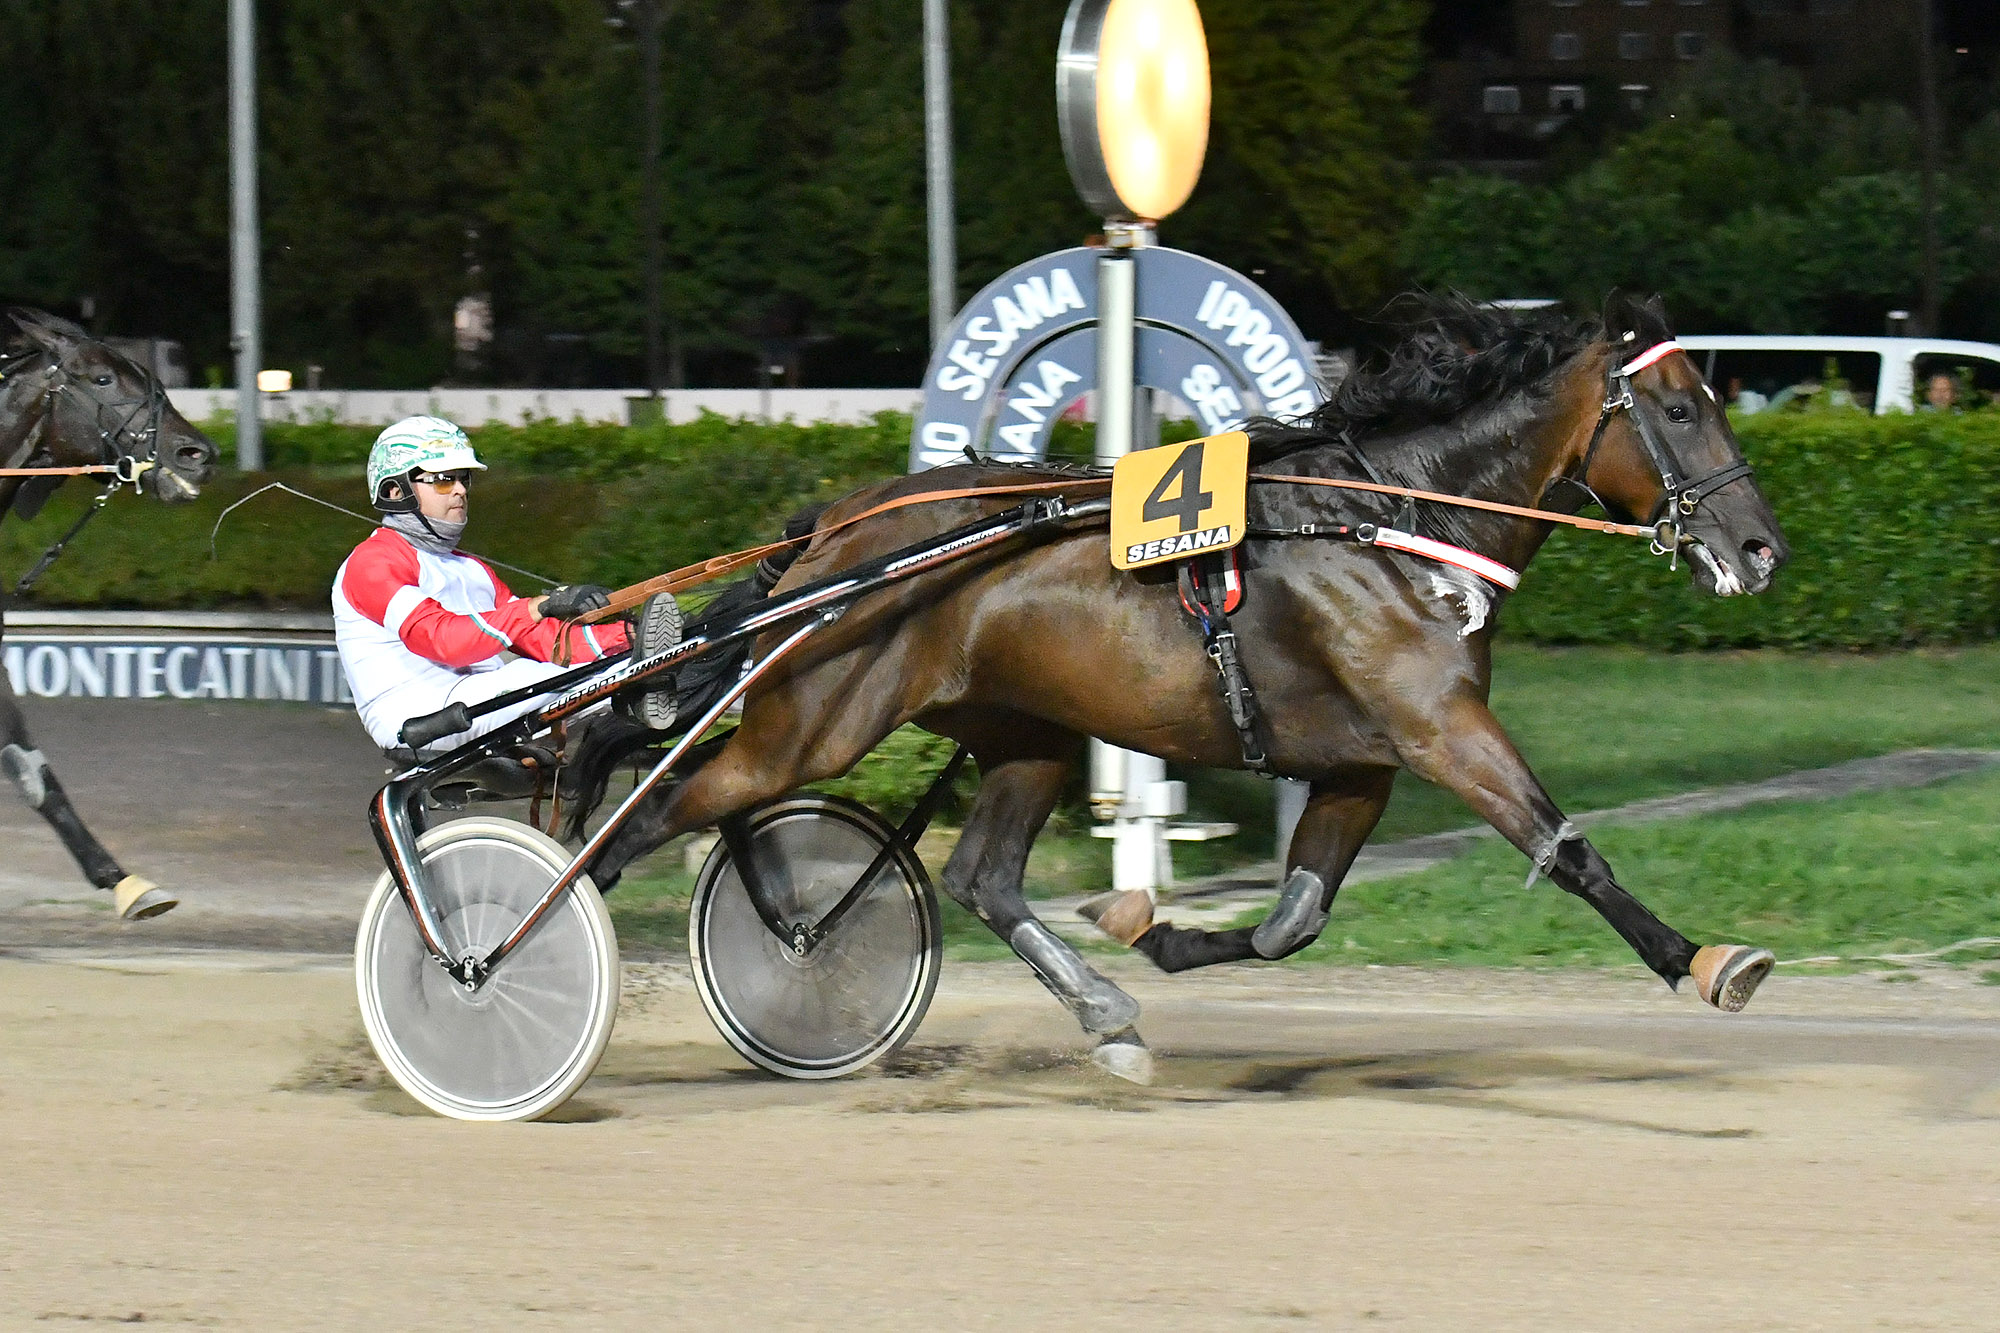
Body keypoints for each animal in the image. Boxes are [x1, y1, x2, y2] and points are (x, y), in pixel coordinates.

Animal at [572, 294, 1792, 1080]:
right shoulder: (1439, 729)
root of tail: (835, 528)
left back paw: (1107, 1015)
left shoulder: (1359, 763)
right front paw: (1705, 962)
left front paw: (1148, 931)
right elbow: (1566, 847)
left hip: (1023, 729)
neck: (1391, 524)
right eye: (1681, 409)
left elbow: (1290, 922)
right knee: (658, 806)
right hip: (812, 724)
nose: (1759, 547)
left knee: (978, 875)